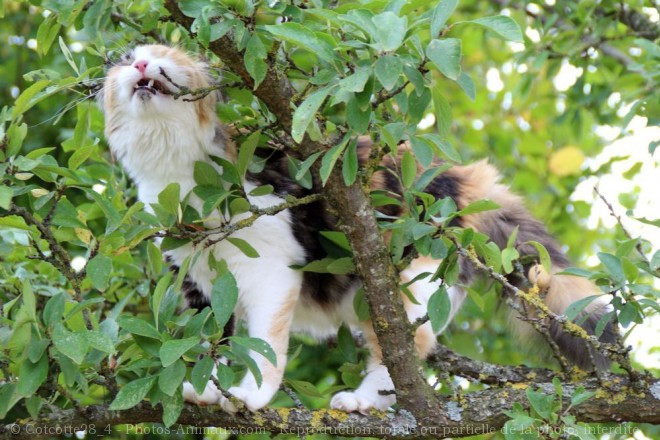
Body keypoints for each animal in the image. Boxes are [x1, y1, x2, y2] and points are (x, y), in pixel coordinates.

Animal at [100, 43, 616, 412]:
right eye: (124, 60)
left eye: (167, 56)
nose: (141, 62)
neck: (178, 172)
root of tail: (464, 175)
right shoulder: (193, 278)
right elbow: (207, 340)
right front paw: (207, 388)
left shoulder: (270, 267)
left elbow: (264, 346)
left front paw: (251, 396)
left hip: (406, 280)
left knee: (407, 350)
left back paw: (365, 401)